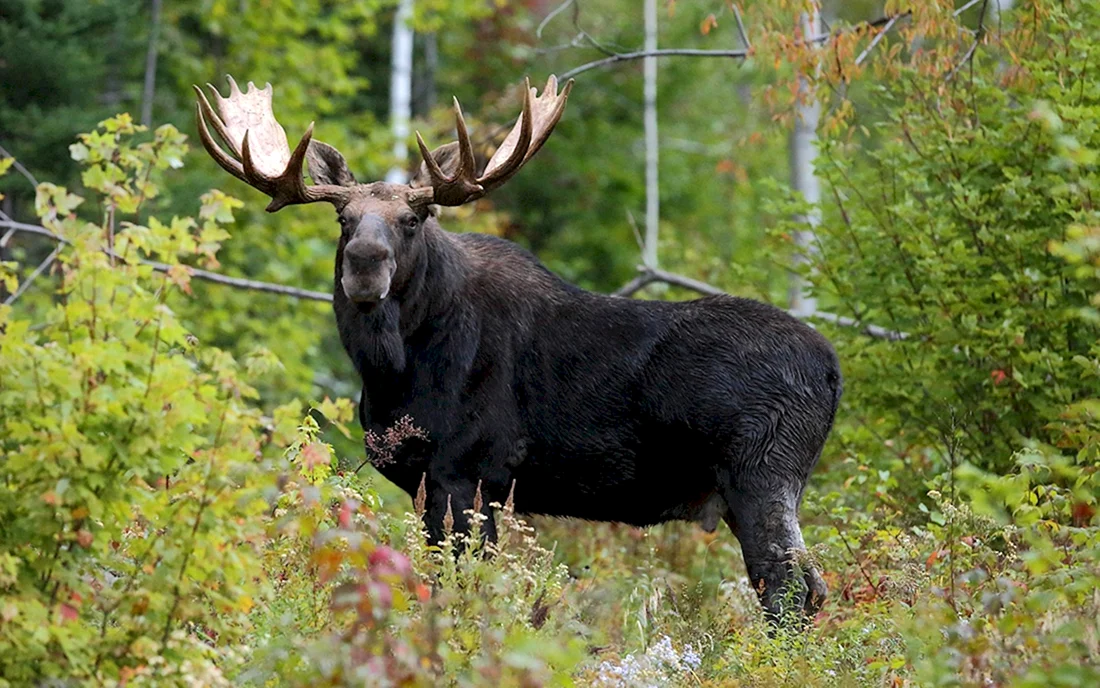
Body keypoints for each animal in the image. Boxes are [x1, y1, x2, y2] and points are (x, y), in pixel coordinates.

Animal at [193, 75, 841, 622]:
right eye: (343, 219)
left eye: (414, 218)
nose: (365, 262)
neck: (391, 373)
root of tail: (834, 372)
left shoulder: (470, 470)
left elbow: (462, 586)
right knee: (804, 586)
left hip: (761, 470)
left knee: (789, 589)